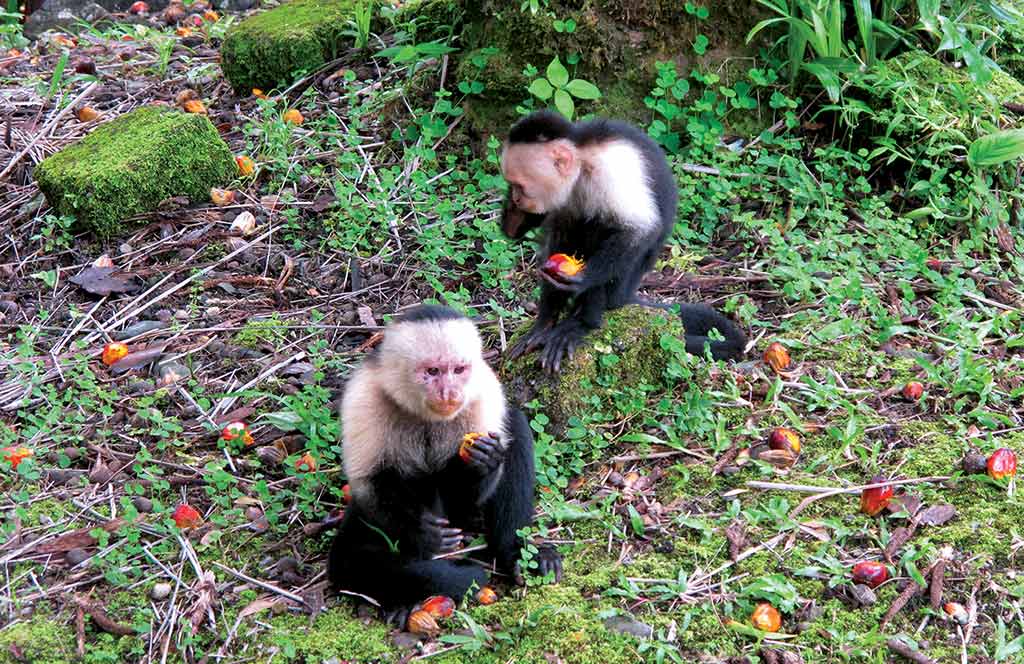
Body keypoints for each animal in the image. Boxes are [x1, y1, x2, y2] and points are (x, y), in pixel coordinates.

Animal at [327, 303, 565, 627]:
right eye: (432, 371)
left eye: (458, 370)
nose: (450, 393)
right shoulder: (364, 399)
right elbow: (368, 483)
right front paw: (421, 534)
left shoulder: (483, 393)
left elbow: (474, 486)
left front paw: (484, 462)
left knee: (515, 426)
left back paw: (514, 551)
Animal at [499, 109, 749, 372]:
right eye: (511, 186)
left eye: (520, 186)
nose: (516, 198)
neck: (582, 166)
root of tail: (626, 294)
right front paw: (514, 217)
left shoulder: (609, 170)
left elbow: (639, 229)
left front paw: (583, 278)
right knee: (562, 228)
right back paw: (546, 324)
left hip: (625, 281)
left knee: (603, 229)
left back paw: (582, 323)